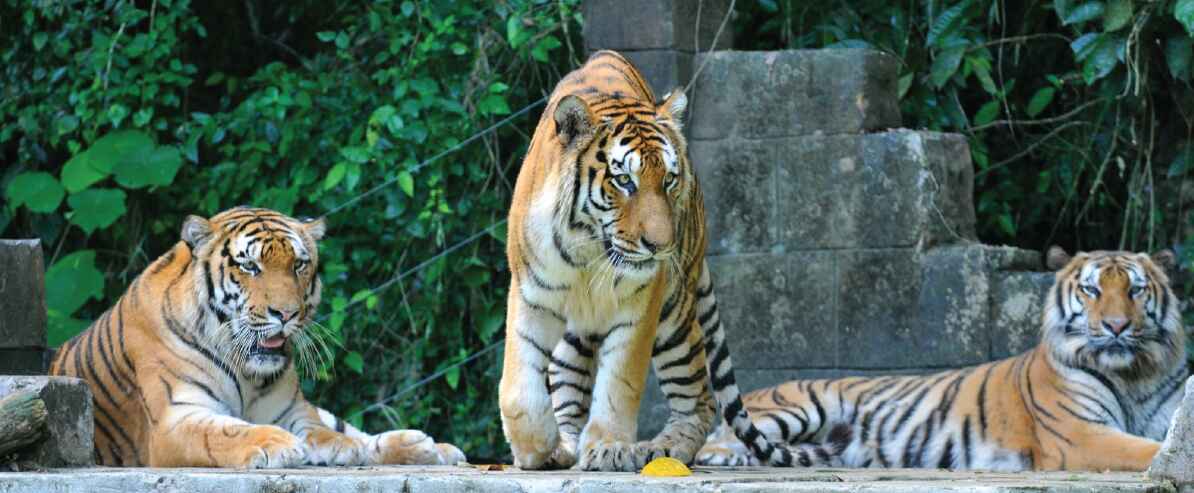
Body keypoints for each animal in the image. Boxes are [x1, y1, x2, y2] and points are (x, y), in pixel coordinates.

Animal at [48, 205, 463, 467]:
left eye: (299, 265)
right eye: (250, 266)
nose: (287, 314)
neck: (246, 371)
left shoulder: (291, 408)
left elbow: (319, 429)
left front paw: (337, 446)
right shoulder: (175, 420)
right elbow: (224, 432)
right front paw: (274, 443)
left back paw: (431, 447)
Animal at [499, 48, 826, 467]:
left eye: (669, 179)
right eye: (624, 181)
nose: (662, 244)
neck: (589, 250)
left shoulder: (642, 301)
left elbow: (620, 381)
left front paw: (608, 447)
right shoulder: (531, 293)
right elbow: (519, 386)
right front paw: (535, 449)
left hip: (675, 317)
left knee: (700, 399)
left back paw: (663, 449)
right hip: (576, 334)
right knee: (569, 387)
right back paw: (566, 446)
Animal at [697, 248, 1189, 470]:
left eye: (1135, 290)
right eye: (1091, 290)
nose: (1116, 326)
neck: (1134, 375)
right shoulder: (1082, 435)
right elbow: (1143, 449)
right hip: (798, 407)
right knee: (721, 439)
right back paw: (728, 459)